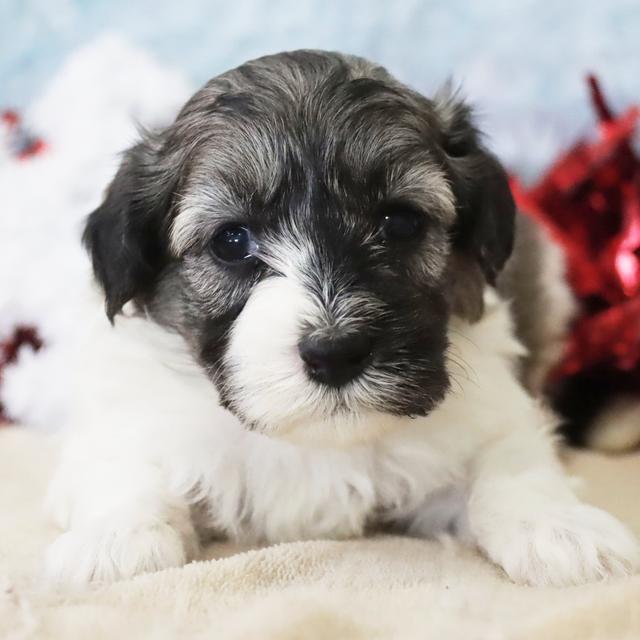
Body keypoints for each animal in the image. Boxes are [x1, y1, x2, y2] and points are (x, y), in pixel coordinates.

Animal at [46, 50, 640, 588]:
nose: (335, 353)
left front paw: (557, 527)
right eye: (231, 241)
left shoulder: (485, 419)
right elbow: (124, 465)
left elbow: (511, 462)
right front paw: (113, 540)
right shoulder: (139, 416)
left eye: (401, 222)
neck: (318, 440)